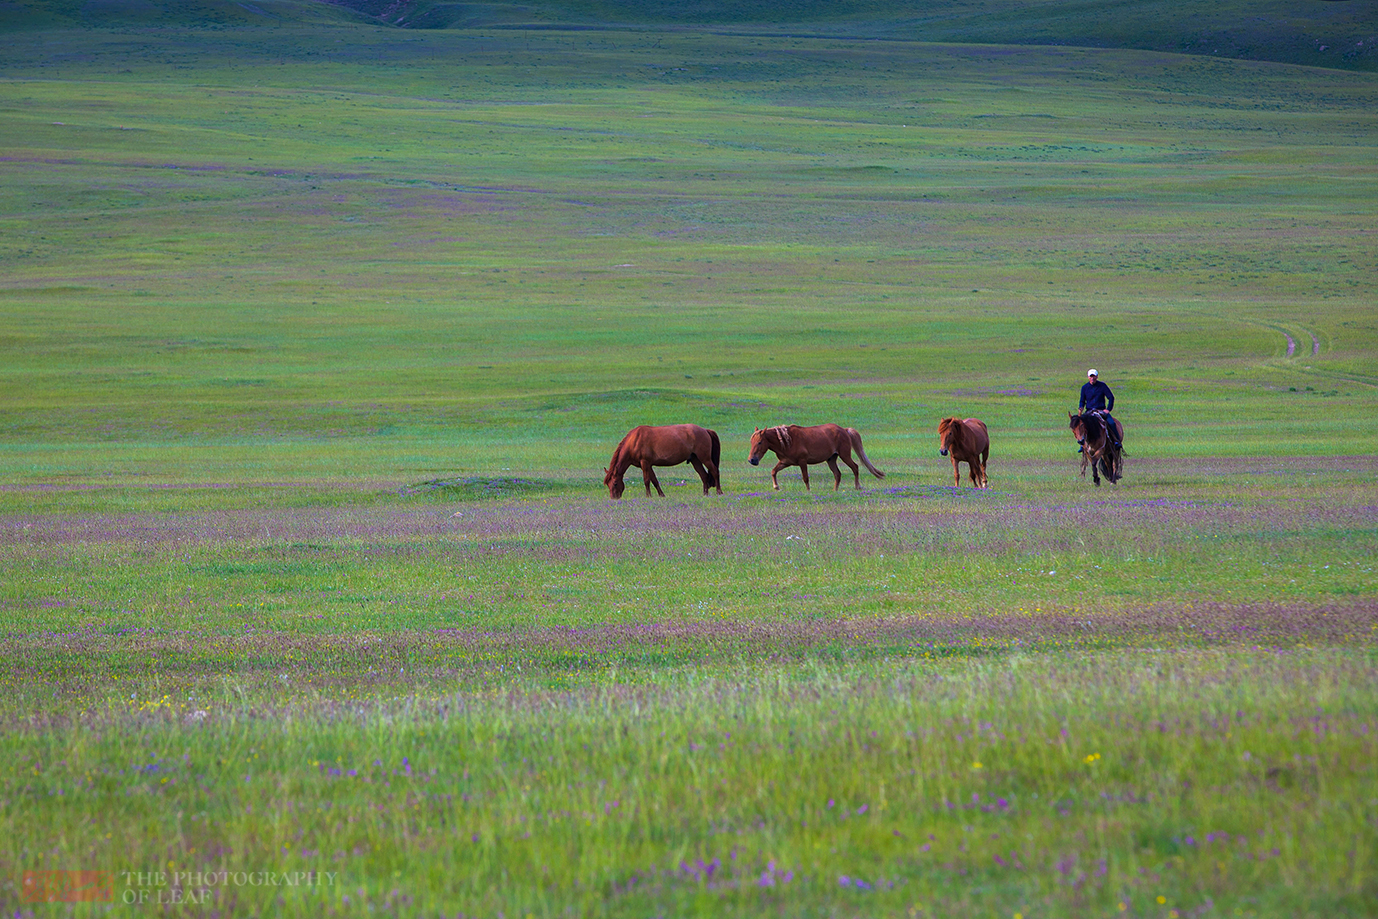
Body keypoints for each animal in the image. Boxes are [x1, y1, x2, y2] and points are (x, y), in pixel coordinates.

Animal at [749, 424, 887, 493]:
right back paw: (834, 490)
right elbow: (773, 471)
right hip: (831, 459)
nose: (752, 460)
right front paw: (776, 487)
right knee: (838, 474)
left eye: (760, 442)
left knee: (855, 467)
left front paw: (808, 491)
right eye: (751, 441)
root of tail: (844, 430)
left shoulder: (802, 461)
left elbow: (805, 478)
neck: (787, 440)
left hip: (845, 455)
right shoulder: (785, 462)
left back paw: (857, 487)